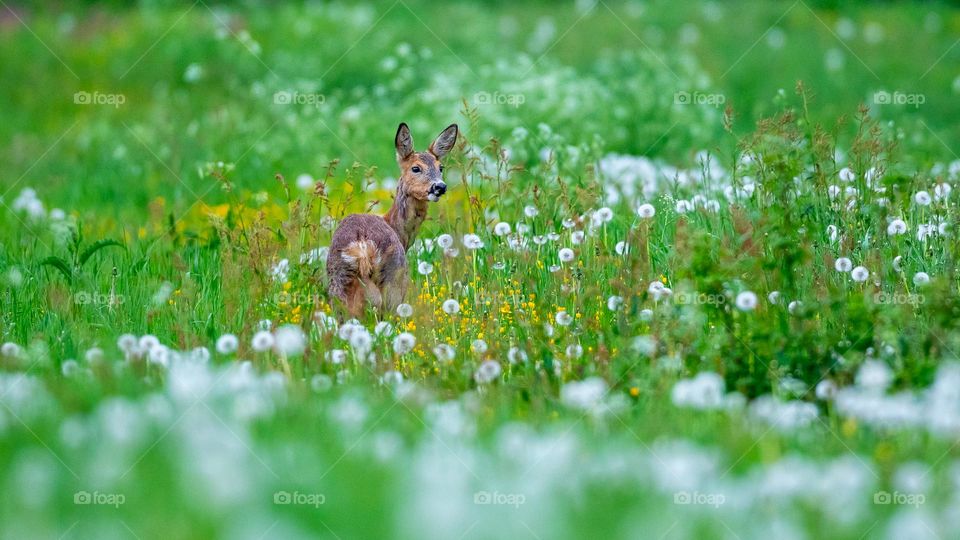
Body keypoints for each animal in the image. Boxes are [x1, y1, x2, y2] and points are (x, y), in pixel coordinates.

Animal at [327, 122, 458, 319]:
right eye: (415, 168)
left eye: (440, 167)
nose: (440, 187)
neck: (397, 229)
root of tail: (362, 248)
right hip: (393, 283)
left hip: (337, 285)